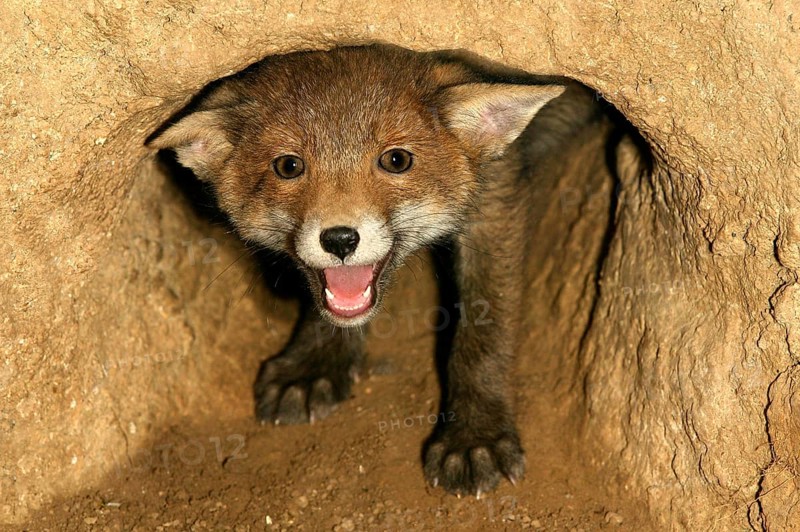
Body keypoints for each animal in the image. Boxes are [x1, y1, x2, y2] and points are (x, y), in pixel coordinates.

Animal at [146, 43, 633, 496]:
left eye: (396, 160)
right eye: (288, 166)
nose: (340, 240)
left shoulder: (496, 197)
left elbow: (483, 332)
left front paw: (475, 435)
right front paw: (316, 363)